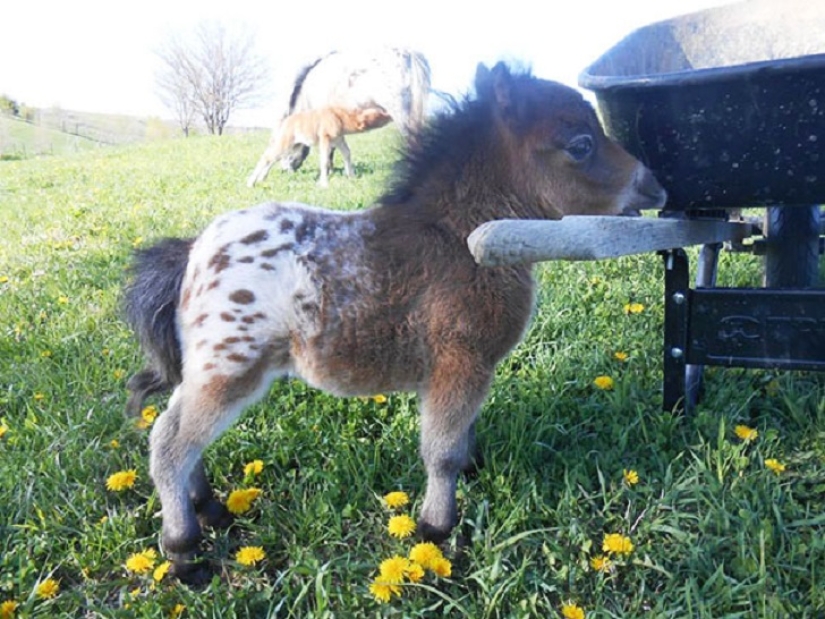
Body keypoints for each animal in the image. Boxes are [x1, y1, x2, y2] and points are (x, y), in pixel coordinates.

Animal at [245, 106, 391, 187]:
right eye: (379, 114)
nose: (389, 114)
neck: (339, 117)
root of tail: (286, 121)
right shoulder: (325, 139)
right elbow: (325, 161)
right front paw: (324, 184)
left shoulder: (339, 140)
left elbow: (347, 154)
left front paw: (352, 177)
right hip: (285, 143)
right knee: (267, 157)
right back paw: (251, 183)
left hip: (293, 146)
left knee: (273, 159)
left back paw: (262, 178)